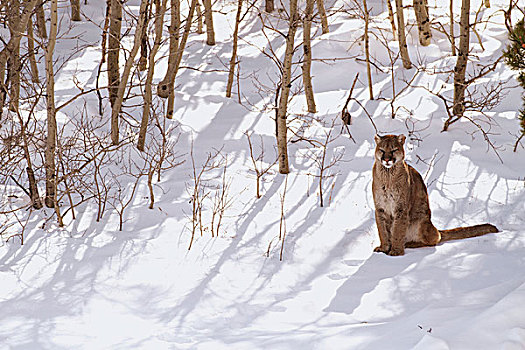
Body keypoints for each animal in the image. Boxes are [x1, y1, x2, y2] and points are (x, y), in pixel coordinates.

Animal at [370, 134, 498, 258]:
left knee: (435, 239)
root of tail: (435, 227)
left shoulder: (401, 208)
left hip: (420, 221)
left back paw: (410, 243)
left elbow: (397, 230)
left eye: (394, 150)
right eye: (382, 150)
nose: (387, 159)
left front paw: (396, 251)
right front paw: (384, 248)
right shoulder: (380, 208)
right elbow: (382, 231)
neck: (388, 176)